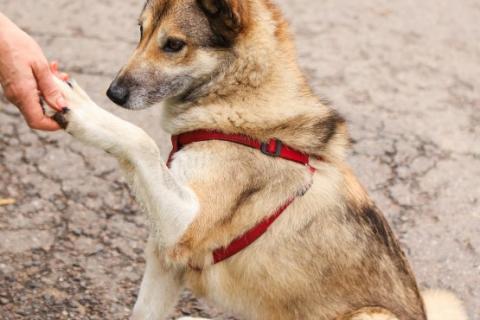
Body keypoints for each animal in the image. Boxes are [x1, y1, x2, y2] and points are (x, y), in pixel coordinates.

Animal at [46, 0, 468, 320]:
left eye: (174, 45)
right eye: (141, 31)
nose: (113, 93)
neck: (239, 102)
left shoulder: (185, 227)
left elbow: (140, 140)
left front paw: (83, 110)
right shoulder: (166, 258)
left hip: (371, 315)